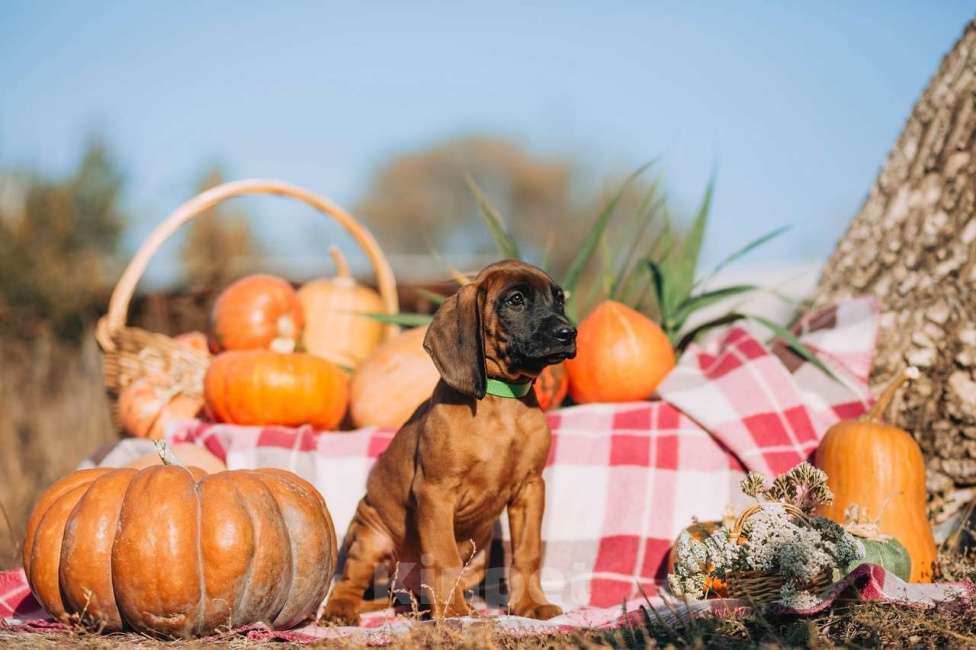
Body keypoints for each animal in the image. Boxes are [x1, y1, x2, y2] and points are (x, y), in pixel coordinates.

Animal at [324, 258, 576, 624]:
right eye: (515, 299)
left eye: (558, 298)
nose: (569, 333)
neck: (503, 402)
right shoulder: (435, 492)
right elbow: (443, 557)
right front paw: (453, 613)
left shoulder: (531, 488)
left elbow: (527, 553)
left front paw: (530, 604)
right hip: (369, 534)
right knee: (350, 581)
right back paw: (343, 610)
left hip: (476, 556)